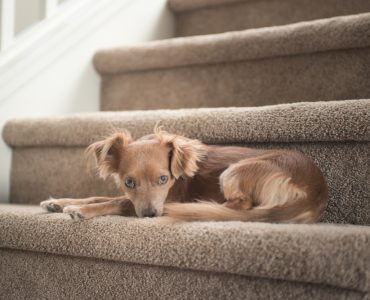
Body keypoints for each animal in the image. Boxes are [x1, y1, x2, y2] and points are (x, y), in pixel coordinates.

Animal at [40, 126, 328, 223]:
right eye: (129, 182)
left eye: (164, 179)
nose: (150, 215)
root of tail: (316, 191)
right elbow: (98, 196)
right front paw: (58, 202)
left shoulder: (164, 199)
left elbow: (113, 202)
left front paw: (79, 209)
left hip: (235, 171)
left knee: (242, 206)